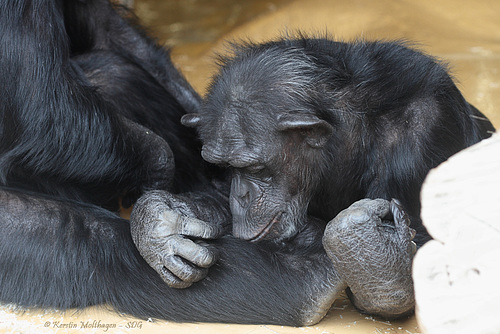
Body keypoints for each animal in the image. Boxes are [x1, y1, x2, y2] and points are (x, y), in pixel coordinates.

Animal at [0, 0, 494, 328]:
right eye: (228, 166)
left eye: (255, 169)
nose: (242, 191)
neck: (347, 135)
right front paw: (160, 223)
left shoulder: (425, 135)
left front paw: (361, 244)